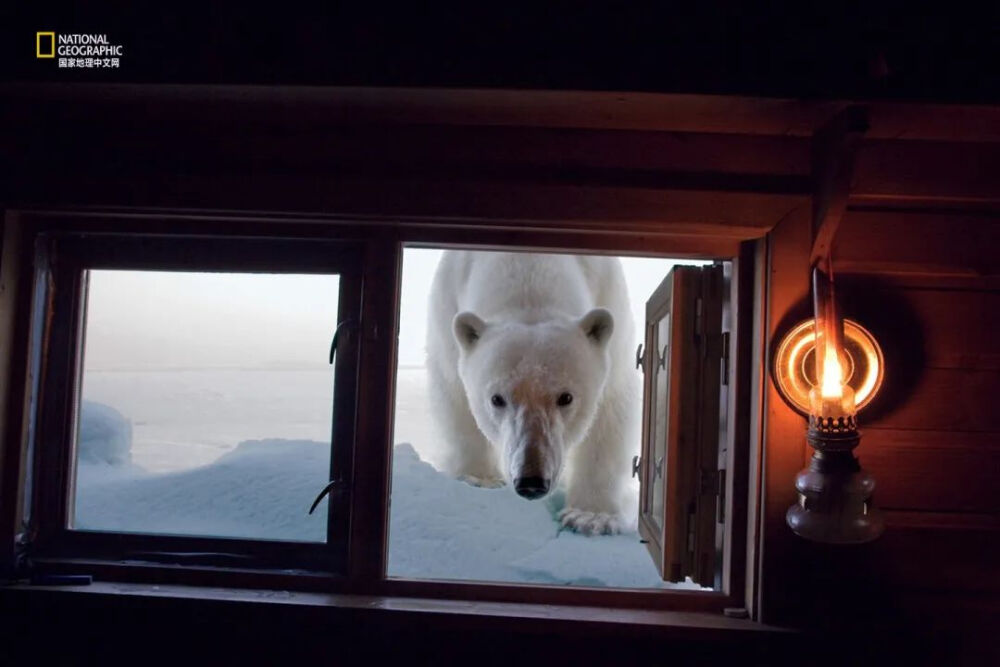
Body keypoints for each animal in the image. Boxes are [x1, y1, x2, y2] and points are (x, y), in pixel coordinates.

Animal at [426, 252, 636, 536]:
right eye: (497, 399)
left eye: (566, 397)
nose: (531, 481)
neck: (528, 265)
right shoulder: (447, 305)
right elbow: (454, 393)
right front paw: (479, 478)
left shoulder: (610, 298)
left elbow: (610, 409)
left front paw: (590, 516)